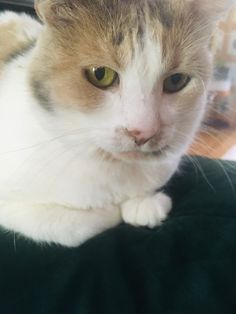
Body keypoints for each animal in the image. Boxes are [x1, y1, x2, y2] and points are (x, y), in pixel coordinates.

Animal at [0, 0, 233, 248]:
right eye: (100, 74)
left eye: (176, 81)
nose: (142, 132)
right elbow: (69, 226)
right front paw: (115, 210)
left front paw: (144, 204)